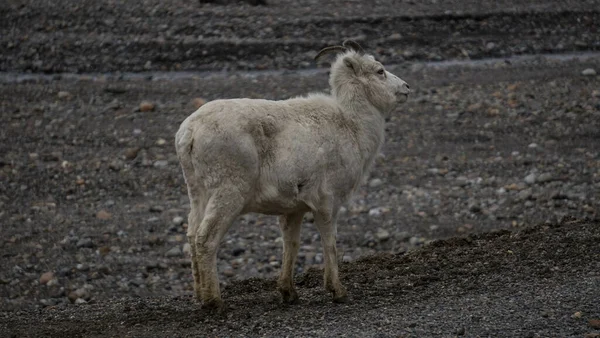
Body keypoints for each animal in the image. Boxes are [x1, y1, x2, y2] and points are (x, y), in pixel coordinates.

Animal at [173, 40, 408, 308]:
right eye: (380, 71)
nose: (406, 88)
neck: (352, 126)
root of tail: (190, 132)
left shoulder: (293, 210)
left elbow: (291, 245)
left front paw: (289, 293)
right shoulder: (326, 204)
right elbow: (330, 243)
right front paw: (338, 291)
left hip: (198, 194)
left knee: (192, 235)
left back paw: (199, 296)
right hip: (227, 193)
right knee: (206, 239)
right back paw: (213, 301)